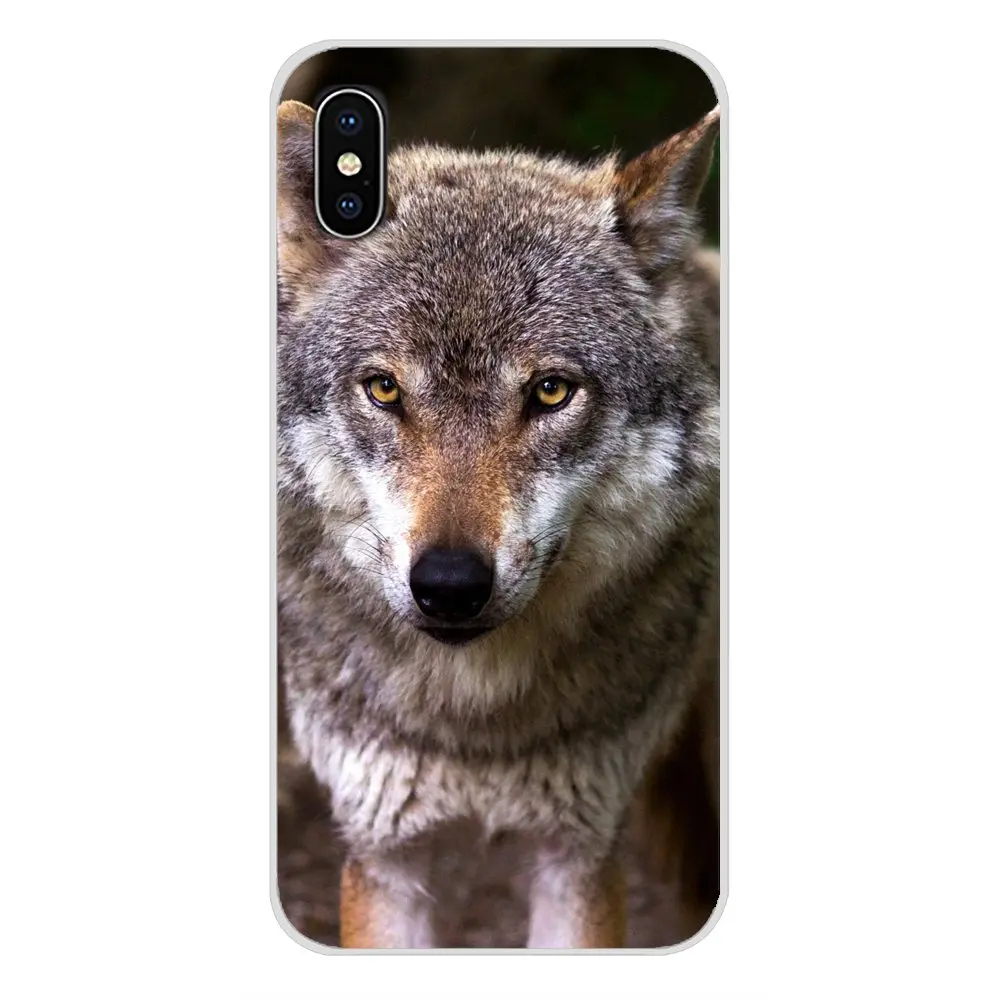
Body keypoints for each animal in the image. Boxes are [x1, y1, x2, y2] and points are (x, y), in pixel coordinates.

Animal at [276, 97, 721, 948]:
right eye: (384, 389)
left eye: (550, 391)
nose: (450, 585)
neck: (475, 724)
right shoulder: (384, 852)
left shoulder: (578, 852)